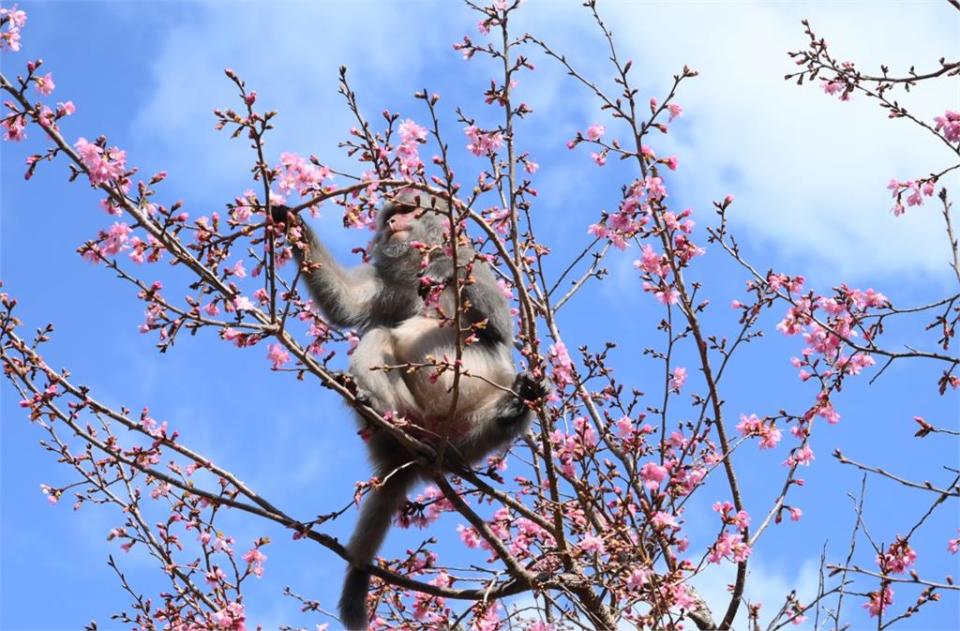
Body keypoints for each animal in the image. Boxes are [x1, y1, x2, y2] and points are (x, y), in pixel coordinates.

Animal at [272, 191, 540, 631]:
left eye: (409, 209)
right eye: (393, 214)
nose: (396, 222)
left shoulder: (476, 266)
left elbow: (499, 327)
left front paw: (445, 263)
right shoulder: (394, 285)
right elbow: (350, 307)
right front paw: (291, 225)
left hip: (465, 434)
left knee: (519, 394)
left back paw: (511, 409)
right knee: (379, 335)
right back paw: (380, 409)